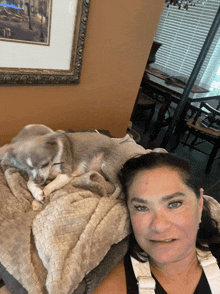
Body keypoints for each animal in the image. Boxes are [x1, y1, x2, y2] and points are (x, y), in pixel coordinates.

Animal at [1, 124, 131, 207]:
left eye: (45, 164)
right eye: (27, 168)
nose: (38, 181)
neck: (53, 163)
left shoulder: (65, 175)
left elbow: (50, 186)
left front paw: (38, 200)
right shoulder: (39, 176)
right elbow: (29, 183)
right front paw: (37, 194)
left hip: (108, 167)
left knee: (119, 186)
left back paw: (113, 196)